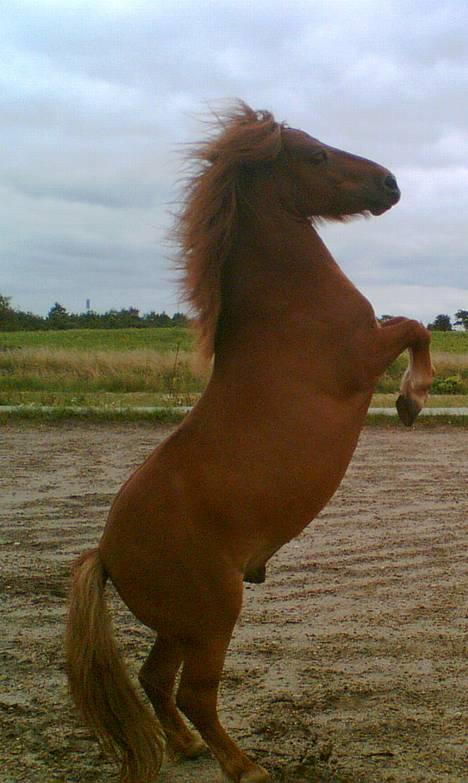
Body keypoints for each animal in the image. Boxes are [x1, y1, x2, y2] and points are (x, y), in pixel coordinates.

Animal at [65, 102, 433, 783]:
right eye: (316, 154)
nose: (390, 183)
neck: (287, 305)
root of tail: (105, 555)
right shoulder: (359, 358)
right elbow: (415, 326)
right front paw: (411, 400)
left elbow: (415, 323)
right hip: (215, 617)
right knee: (193, 692)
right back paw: (244, 765)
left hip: (182, 627)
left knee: (154, 680)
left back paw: (186, 747)